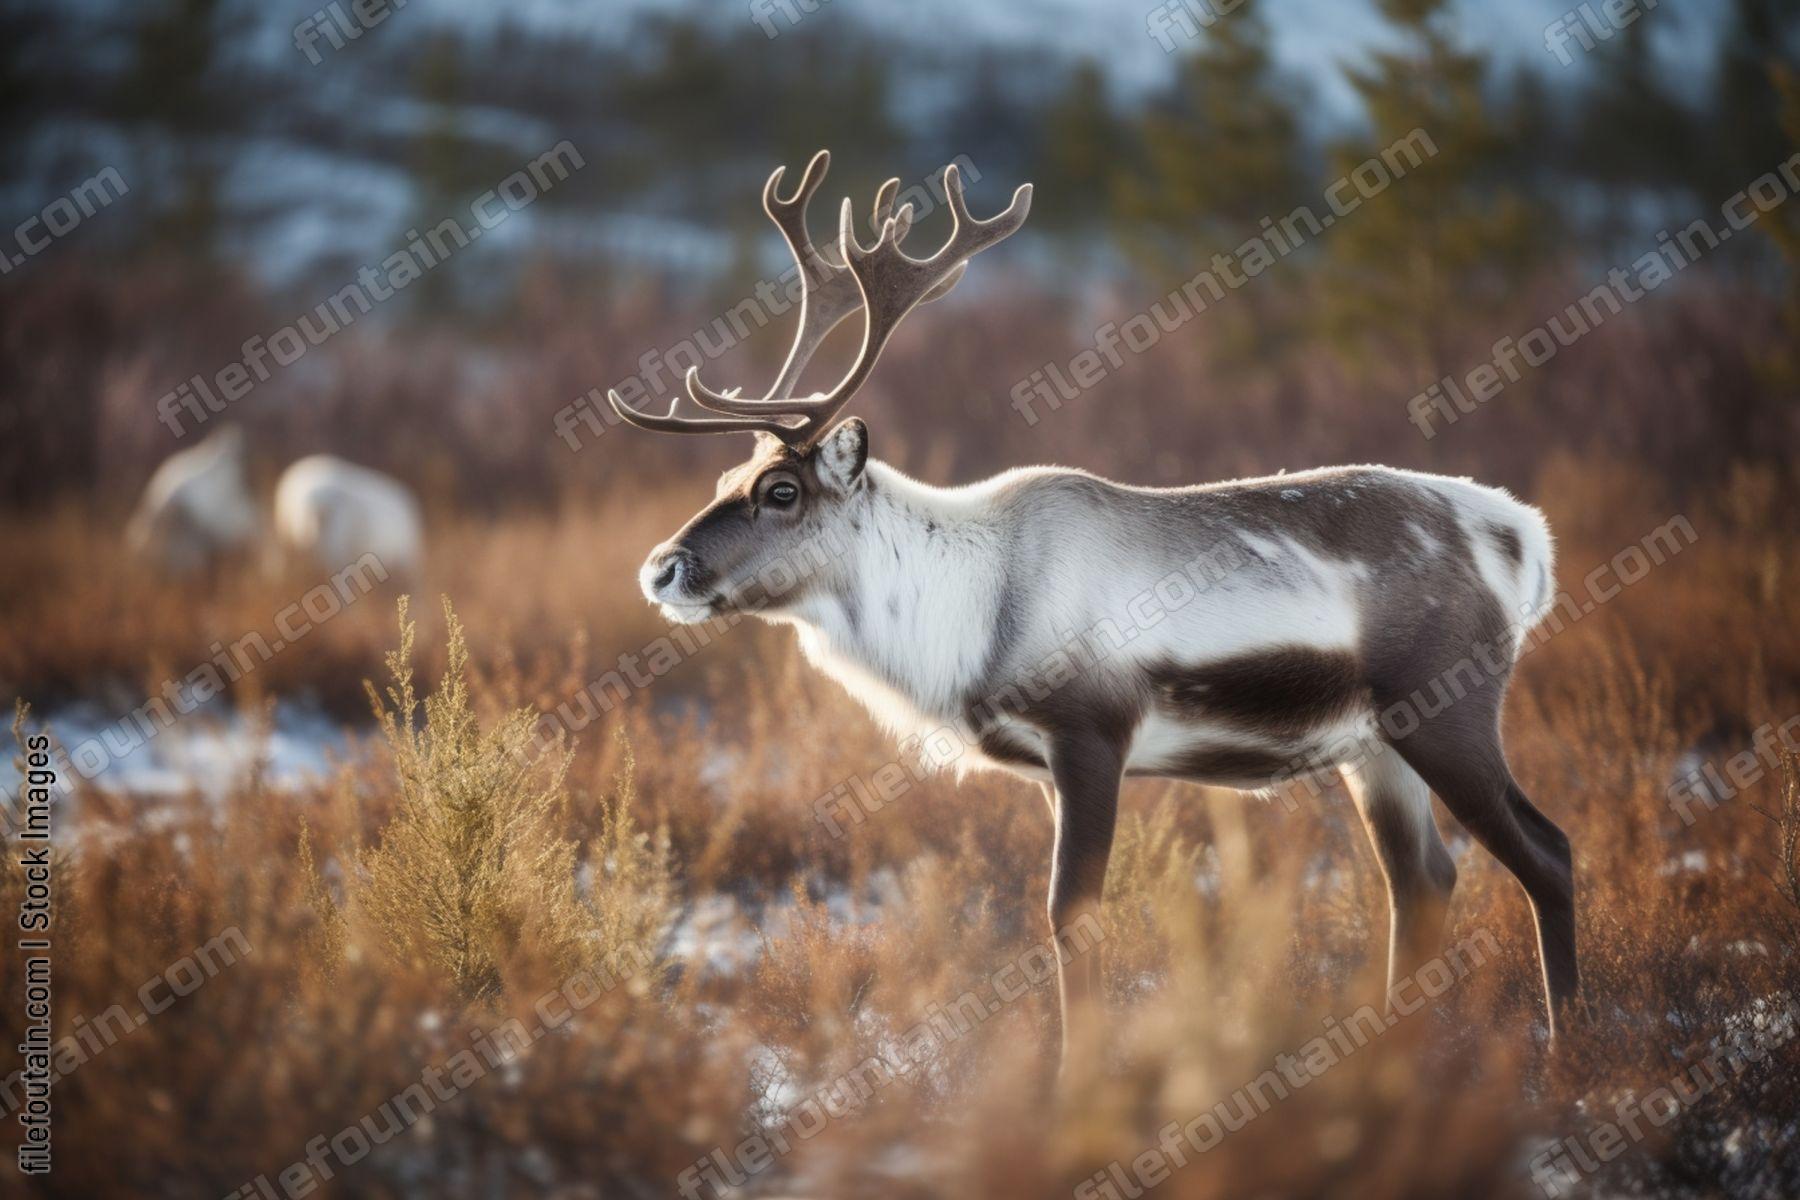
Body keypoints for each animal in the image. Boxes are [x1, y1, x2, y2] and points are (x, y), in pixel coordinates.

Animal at [606, 150, 1579, 1066]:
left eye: (780, 491)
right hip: (1374, 748)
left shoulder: (1090, 736)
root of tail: (1527, 539)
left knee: (1547, 853)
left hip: (1447, 712)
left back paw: (1572, 1043)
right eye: (724, 478)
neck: (968, 607)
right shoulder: (1045, 768)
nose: (661, 569)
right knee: (1424, 881)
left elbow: (1070, 919)